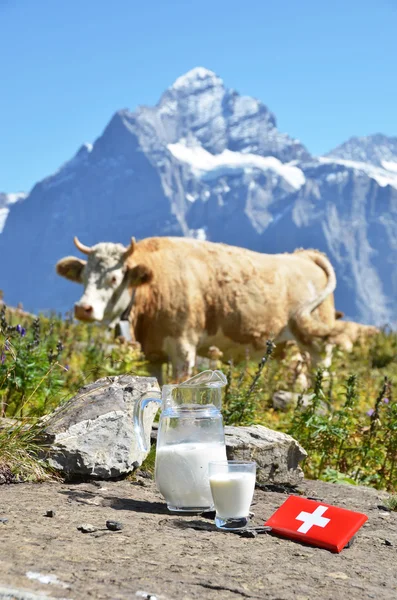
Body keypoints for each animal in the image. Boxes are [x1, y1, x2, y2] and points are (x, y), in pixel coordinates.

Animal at [55, 237, 338, 378]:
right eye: (83, 277)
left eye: (114, 278)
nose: (83, 308)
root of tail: (303, 255)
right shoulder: (152, 353)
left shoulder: (183, 346)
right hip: (287, 349)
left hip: (317, 345)